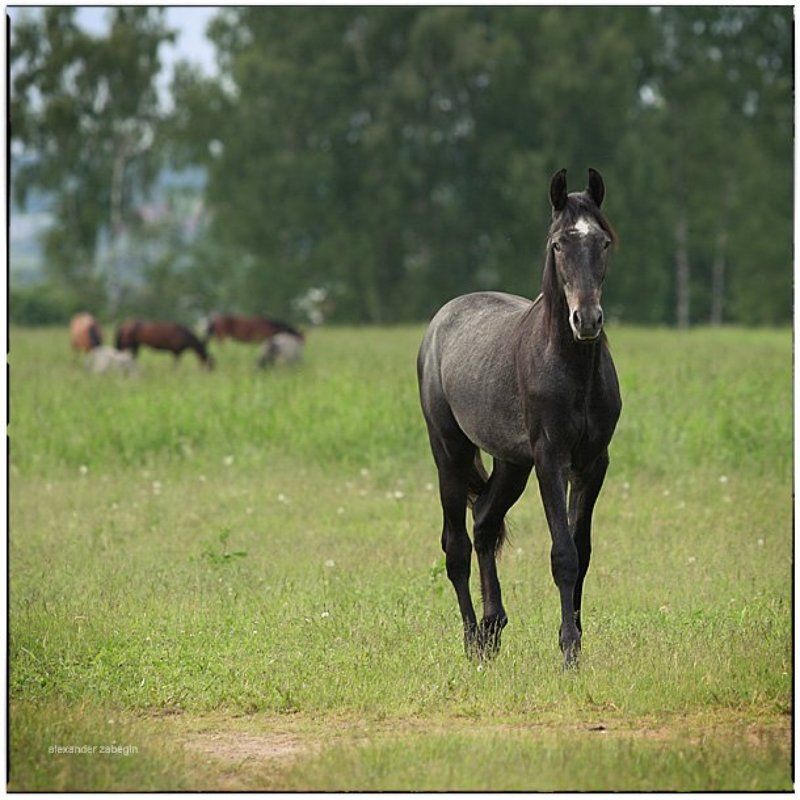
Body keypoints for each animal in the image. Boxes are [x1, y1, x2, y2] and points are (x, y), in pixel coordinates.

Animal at [417, 168, 621, 668]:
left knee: (484, 523)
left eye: (603, 241)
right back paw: (473, 640)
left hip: (512, 464)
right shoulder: (550, 459)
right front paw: (568, 650)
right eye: (558, 244)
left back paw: (493, 629)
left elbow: (582, 552)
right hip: (450, 452)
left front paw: (577, 642)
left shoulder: (592, 463)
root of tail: (441, 319)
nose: (587, 320)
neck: (570, 365)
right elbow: (563, 554)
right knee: (456, 545)